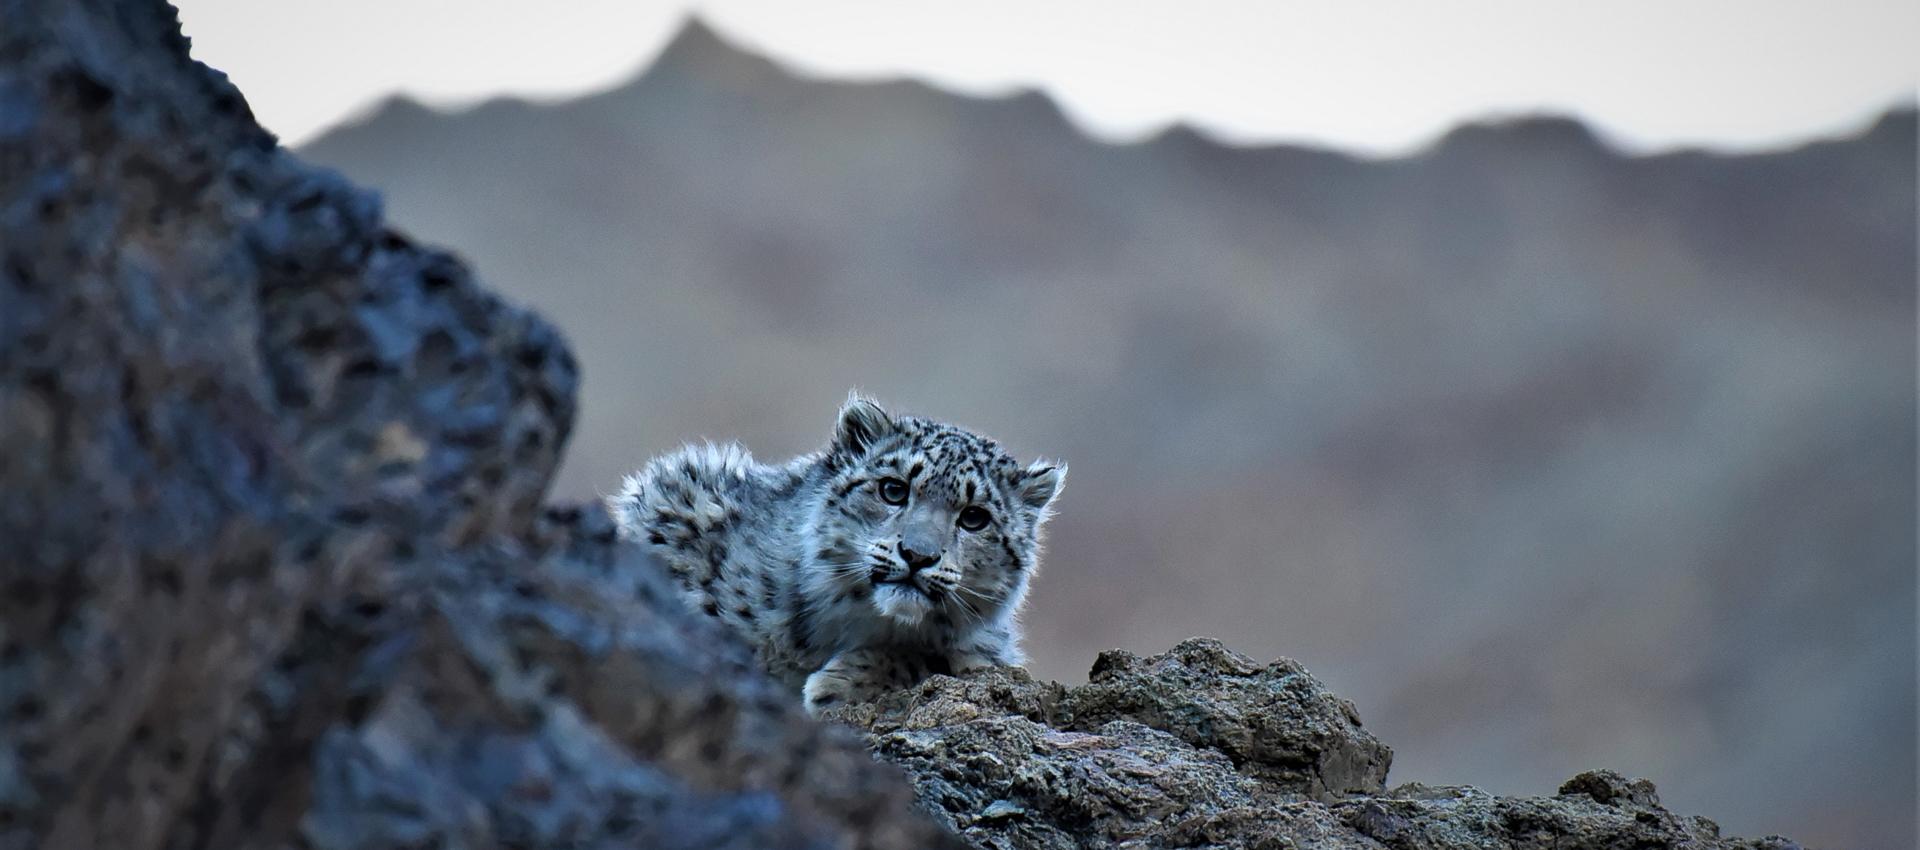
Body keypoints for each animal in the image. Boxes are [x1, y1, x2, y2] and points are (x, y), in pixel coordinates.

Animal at [606, 395, 1067, 713]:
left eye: (974, 518)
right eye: (893, 489)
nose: (917, 555)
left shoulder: (991, 655)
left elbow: (941, 659)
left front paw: (839, 684)